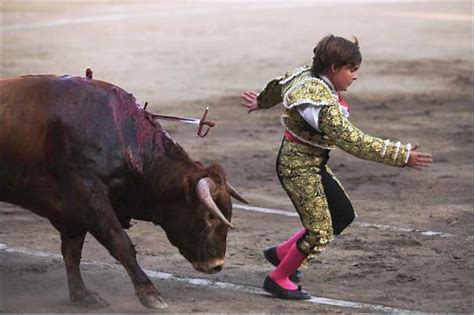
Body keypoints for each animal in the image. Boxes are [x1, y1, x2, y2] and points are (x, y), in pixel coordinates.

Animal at [0, 75, 247, 310]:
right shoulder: (87, 195)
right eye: (209, 217)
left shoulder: (72, 211)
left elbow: (72, 251)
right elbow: (119, 241)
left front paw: (81, 295)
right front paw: (150, 294)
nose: (217, 265)